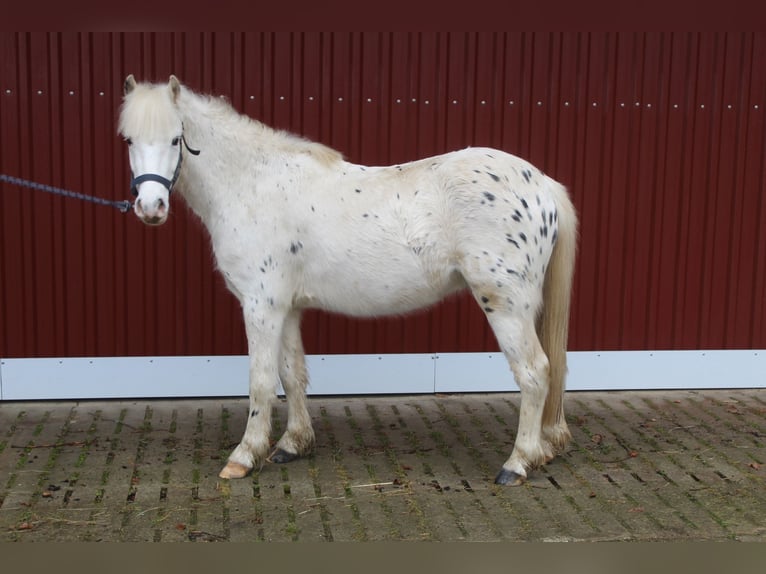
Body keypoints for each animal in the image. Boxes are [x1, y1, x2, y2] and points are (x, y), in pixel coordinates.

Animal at [119, 74, 578, 486]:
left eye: (176, 139)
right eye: (128, 140)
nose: (150, 207)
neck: (254, 185)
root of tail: (542, 184)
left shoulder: (261, 306)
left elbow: (261, 381)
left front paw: (245, 456)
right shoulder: (287, 308)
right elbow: (292, 374)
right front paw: (291, 445)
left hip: (505, 305)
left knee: (535, 373)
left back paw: (516, 464)